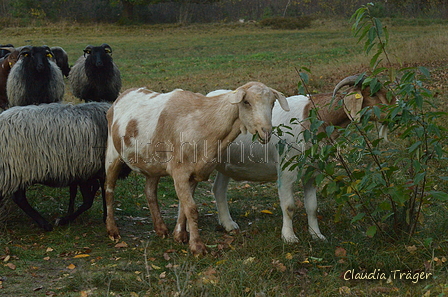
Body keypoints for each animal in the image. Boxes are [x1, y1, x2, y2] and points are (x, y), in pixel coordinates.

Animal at [103, 81, 288, 254]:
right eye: (247, 102)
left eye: (272, 103)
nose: (266, 132)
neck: (205, 124)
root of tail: (123, 94)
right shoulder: (179, 171)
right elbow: (191, 209)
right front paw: (197, 246)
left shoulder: (195, 172)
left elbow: (184, 207)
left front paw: (180, 236)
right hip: (112, 153)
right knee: (109, 189)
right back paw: (112, 230)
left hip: (152, 163)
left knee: (149, 191)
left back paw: (160, 229)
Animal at [209, 74, 392, 243]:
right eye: (373, 94)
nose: (394, 113)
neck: (311, 119)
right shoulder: (286, 170)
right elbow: (289, 206)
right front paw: (289, 237)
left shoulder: (312, 170)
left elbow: (312, 206)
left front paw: (317, 235)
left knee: (218, 189)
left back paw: (229, 225)